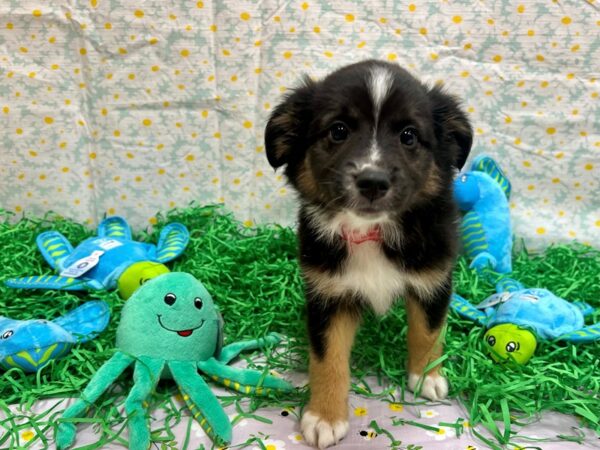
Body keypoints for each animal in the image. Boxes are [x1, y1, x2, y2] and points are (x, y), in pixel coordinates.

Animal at [264, 60, 472, 450]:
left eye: (409, 136)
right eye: (338, 130)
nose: (373, 181)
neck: (370, 232)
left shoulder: (434, 277)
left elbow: (428, 331)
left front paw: (426, 376)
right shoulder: (326, 293)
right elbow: (327, 357)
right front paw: (325, 417)